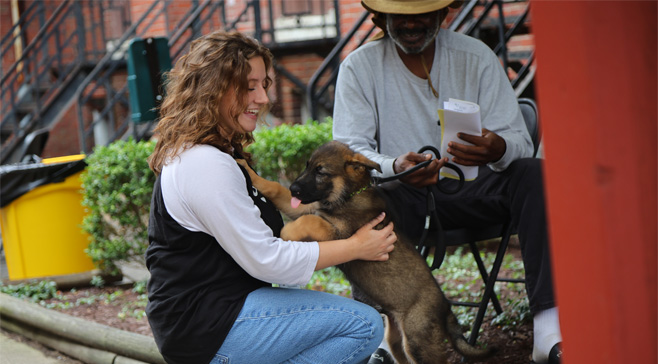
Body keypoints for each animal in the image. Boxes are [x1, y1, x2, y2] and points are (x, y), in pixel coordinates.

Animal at [238, 141, 494, 362]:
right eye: (307, 166)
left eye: (321, 172)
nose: (294, 189)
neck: (348, 196)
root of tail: (446, 307)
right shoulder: (306, 207)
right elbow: (276, 189)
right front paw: (248, 171)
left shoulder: (339, 233)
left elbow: (310, 221)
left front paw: (286, 232)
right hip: (395, 339)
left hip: (418, 341)